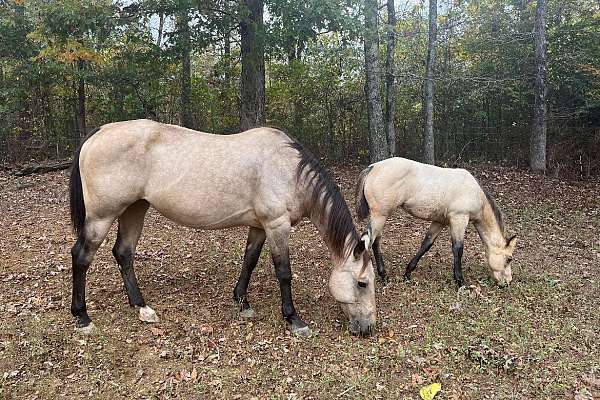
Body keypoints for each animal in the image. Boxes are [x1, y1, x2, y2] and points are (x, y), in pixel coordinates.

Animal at [69, 119, 376, 338]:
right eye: (363, 283)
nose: (368, 328)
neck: (290, 170)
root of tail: (100, 131)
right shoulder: (277, 225)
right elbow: (284, 273)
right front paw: (293, 319)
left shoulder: (259, 227)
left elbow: (249, 261)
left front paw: (242, 302)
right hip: (102, 216)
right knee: (81, 256)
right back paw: (82, 317)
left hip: (134, 209)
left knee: (123, 252)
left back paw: (141, 307)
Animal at [356, 157, 516, 288]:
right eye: (509, 259)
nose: (507, 282)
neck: (476, 194)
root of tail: (373, 167)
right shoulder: (459, 219)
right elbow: (458, 249)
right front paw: (460, 282)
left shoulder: (440, 222)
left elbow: (426, 244)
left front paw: (407, 273)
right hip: (380, 215)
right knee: (370, 240)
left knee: (374, 240)